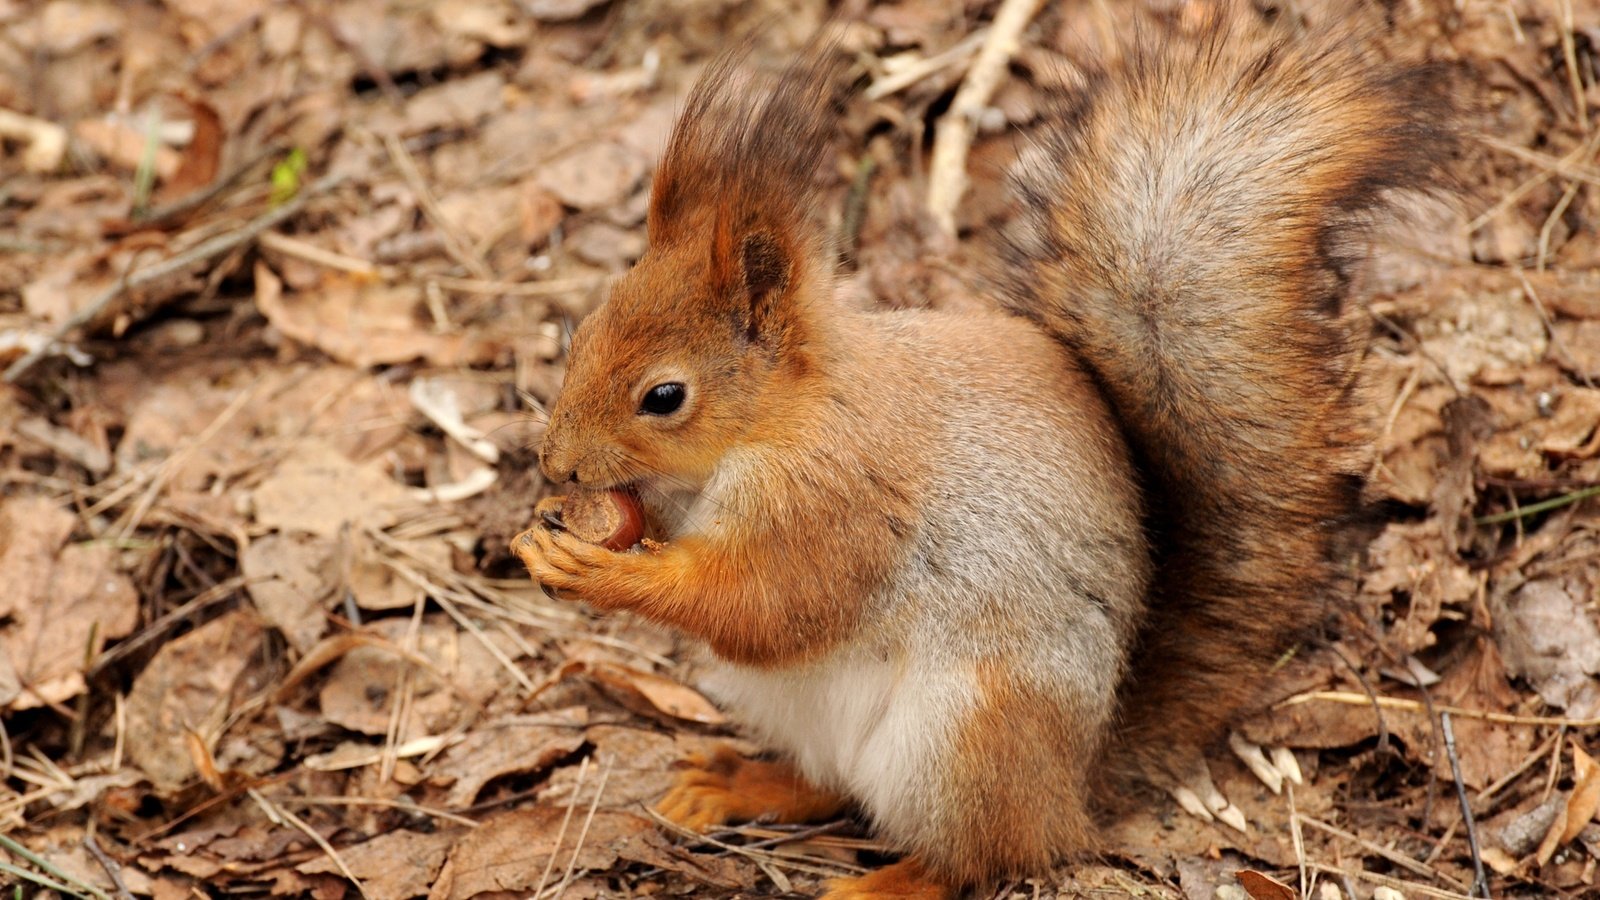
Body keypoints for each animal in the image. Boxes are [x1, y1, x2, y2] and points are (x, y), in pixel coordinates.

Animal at [515, 8, 1465, 896]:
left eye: (664, 397)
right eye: (582, 334)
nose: (557, 465)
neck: (768, 429)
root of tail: (1072, 788)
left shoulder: (838, 501)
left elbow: (769, 604)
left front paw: (604, 571)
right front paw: (557, 526)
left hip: (963, 738)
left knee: (983, 855)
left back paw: (886, 883)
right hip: (801, 713)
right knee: (832, 786)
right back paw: (741, 786)